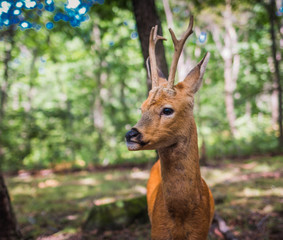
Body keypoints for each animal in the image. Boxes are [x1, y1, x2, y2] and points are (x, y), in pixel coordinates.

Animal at [125, 15, 214, 239]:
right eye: (141, 107)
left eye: (167, 110)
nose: (130, 134)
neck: (181, 213)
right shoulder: (157, 230)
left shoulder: (201, 232)